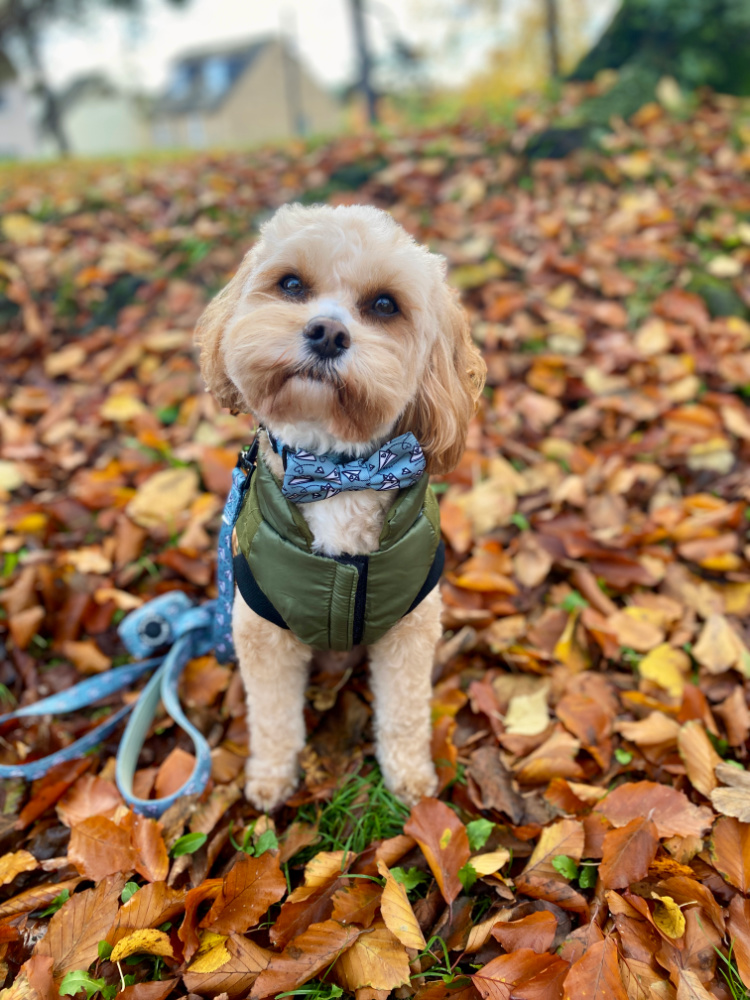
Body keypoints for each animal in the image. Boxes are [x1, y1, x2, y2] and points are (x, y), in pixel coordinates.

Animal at [197, 205, 484, 812]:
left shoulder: (410, 630)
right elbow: (273, 716)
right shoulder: (261, 633)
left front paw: (411, 779)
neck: (337, 472)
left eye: (385, 305)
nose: (327, 332)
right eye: (290, 284)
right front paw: (271, 777)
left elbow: (404, 712)